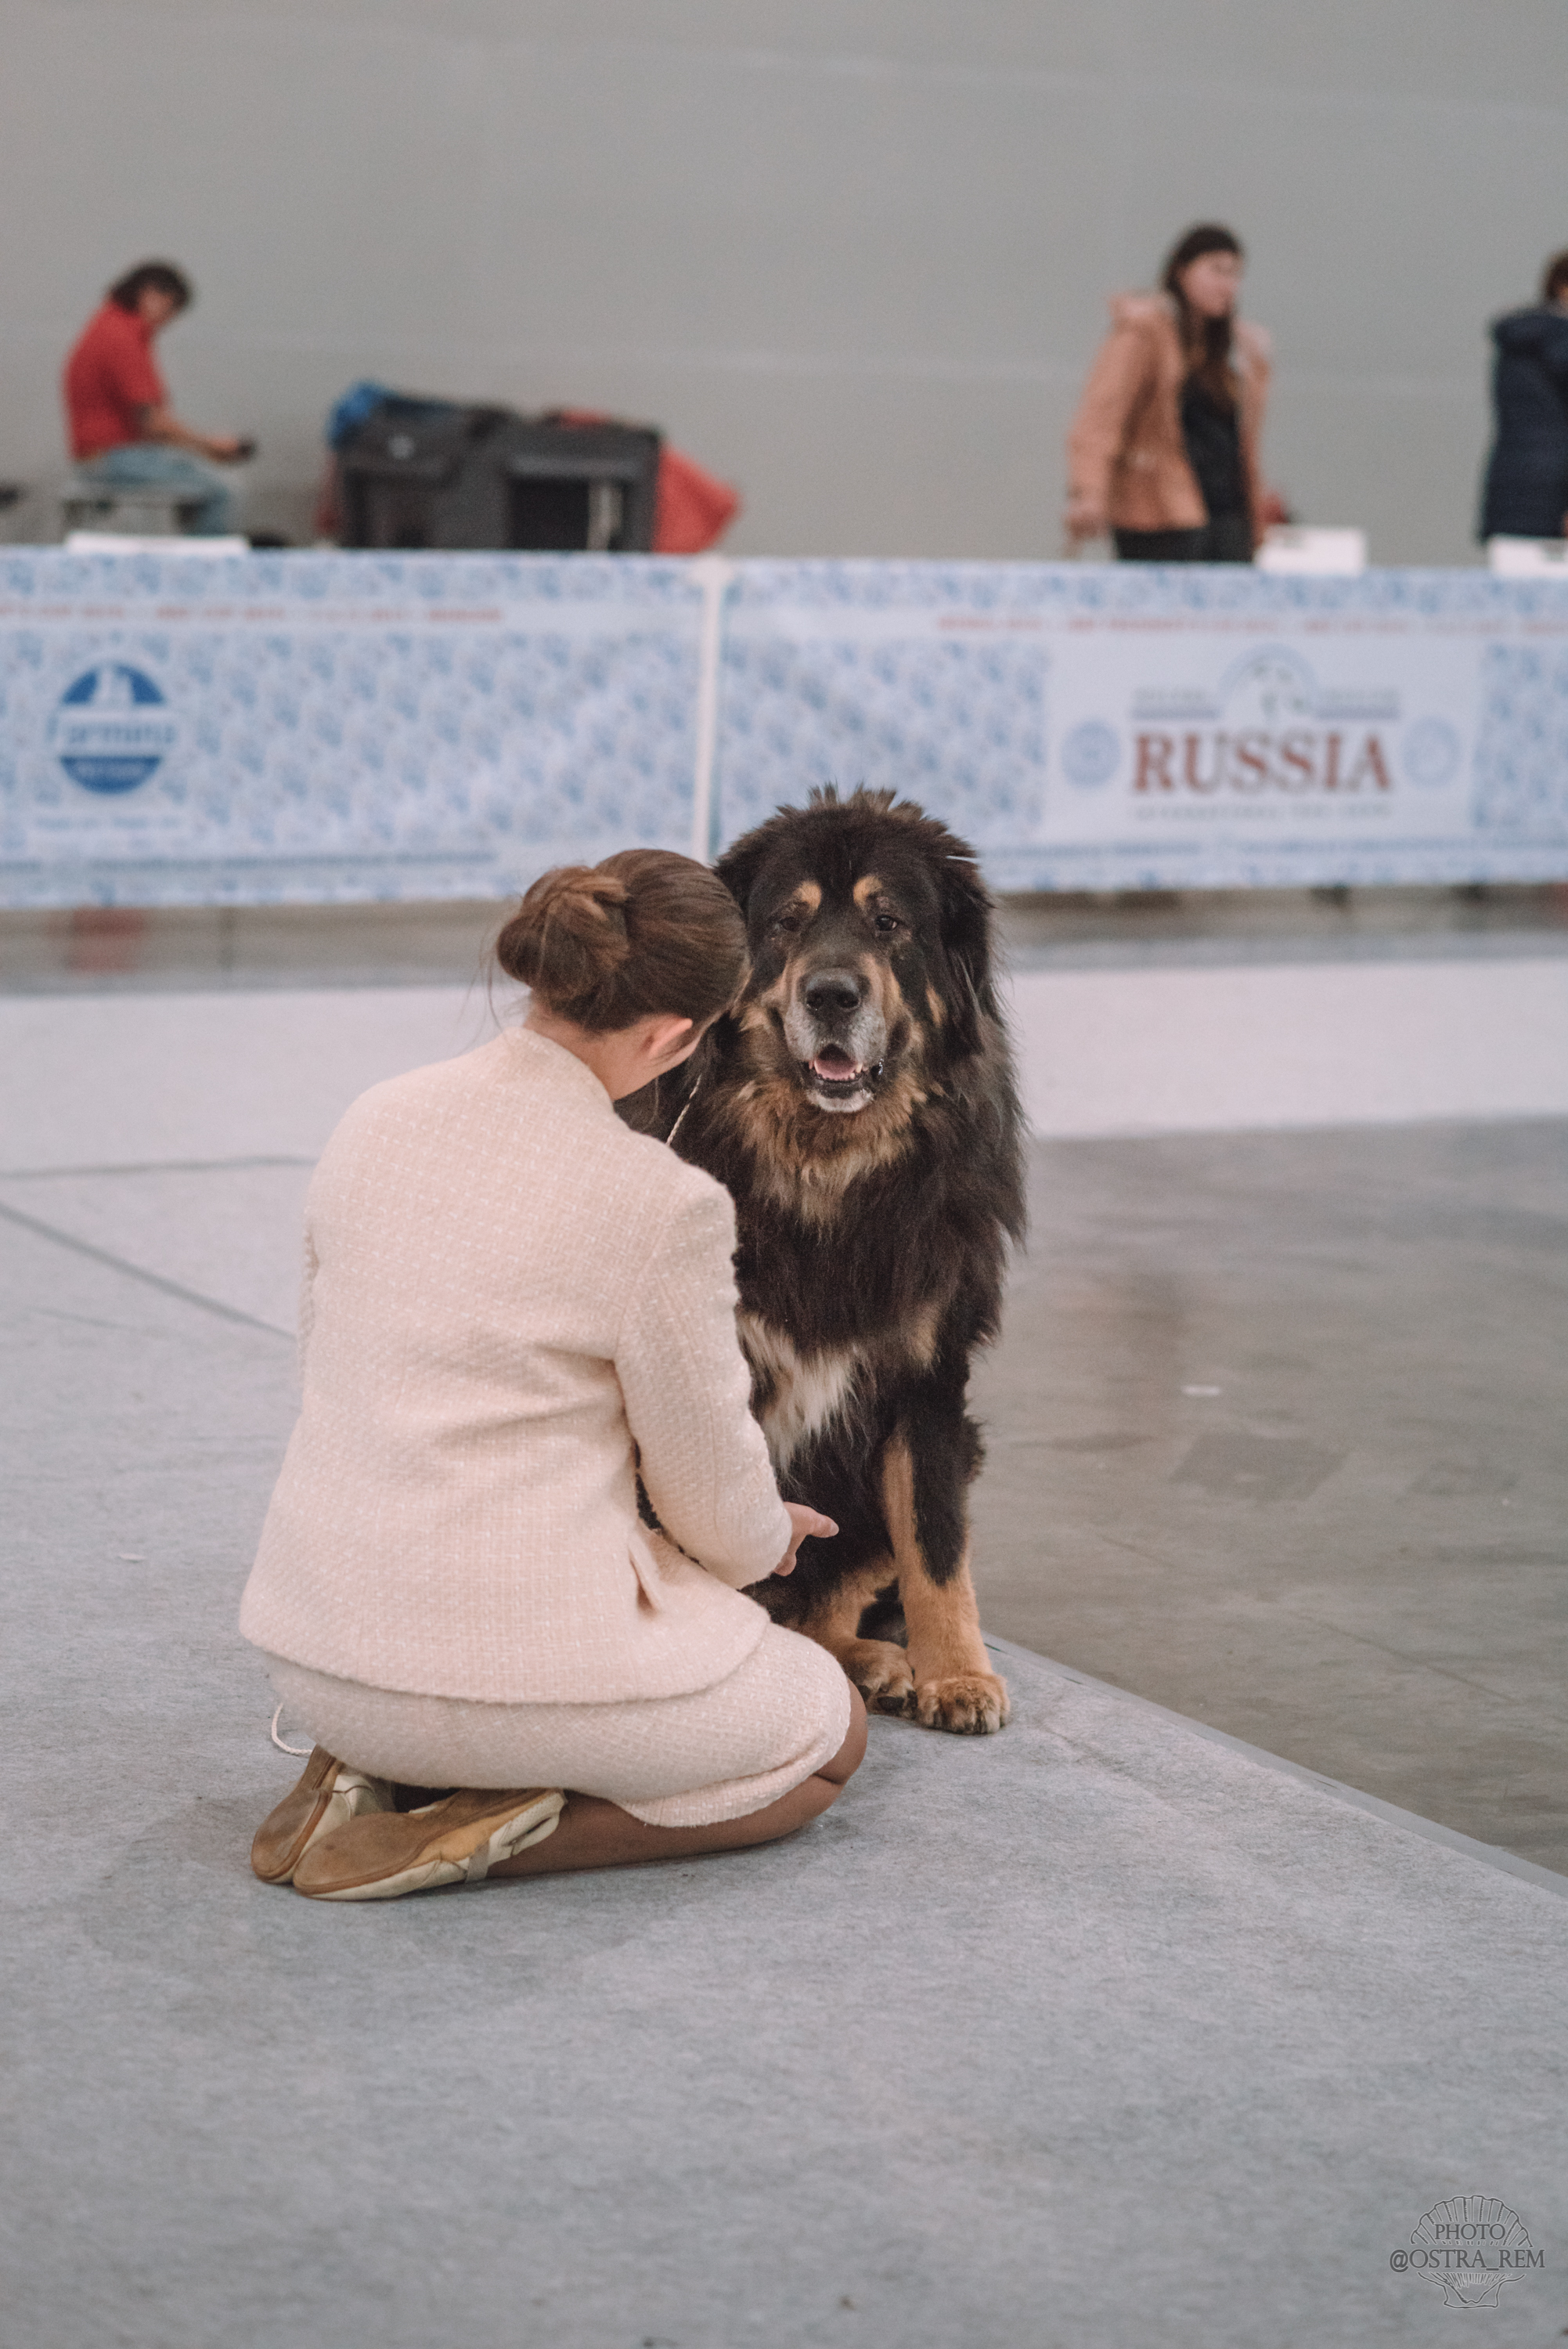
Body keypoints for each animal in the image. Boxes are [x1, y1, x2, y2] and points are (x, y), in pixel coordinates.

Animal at [629, 789, 1023, 1729]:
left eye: (888, 923)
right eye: (786, 922)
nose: (832, 993)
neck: (826, 1172)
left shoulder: (928, 1380)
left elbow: (934, 1546)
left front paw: (958, 1672)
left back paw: (874, 1662)